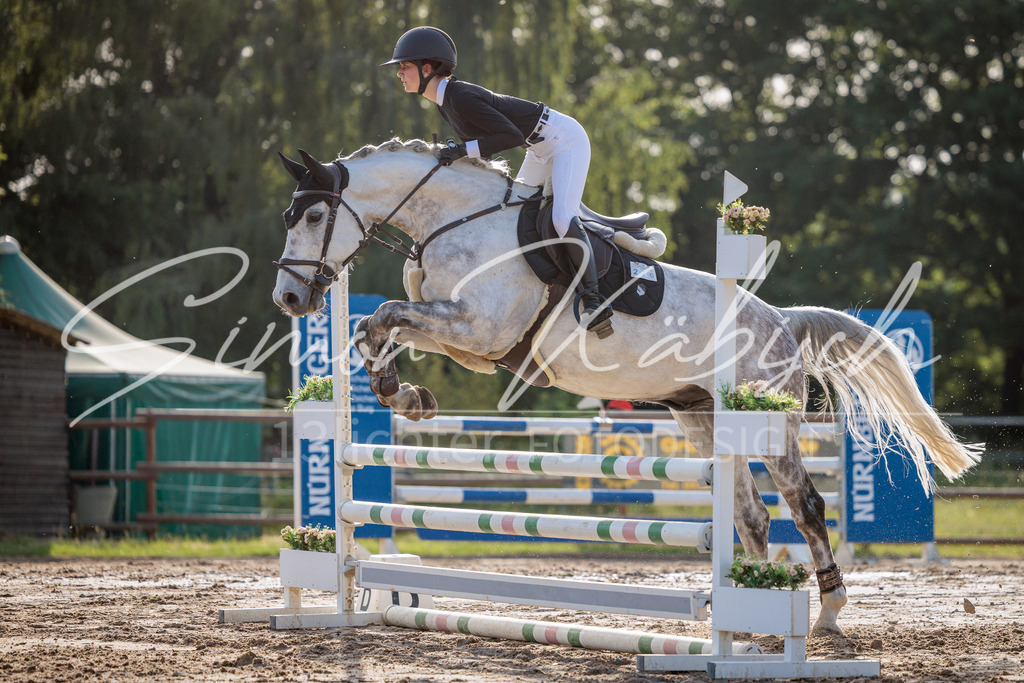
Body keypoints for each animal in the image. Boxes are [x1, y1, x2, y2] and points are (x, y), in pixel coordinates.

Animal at [272, 138, 982, 636]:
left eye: (314, 213)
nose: (289, 298)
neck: (458, 222)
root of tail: (780, 319)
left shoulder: (480, 329)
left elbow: (386, 315)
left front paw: (402, 393)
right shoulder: (470, 342)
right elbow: (378, 324)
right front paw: (404, 394)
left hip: (768, 422)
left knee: (804, 504)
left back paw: (829, 611)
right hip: (702, 421)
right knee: (752, 516)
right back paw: (746, 600)